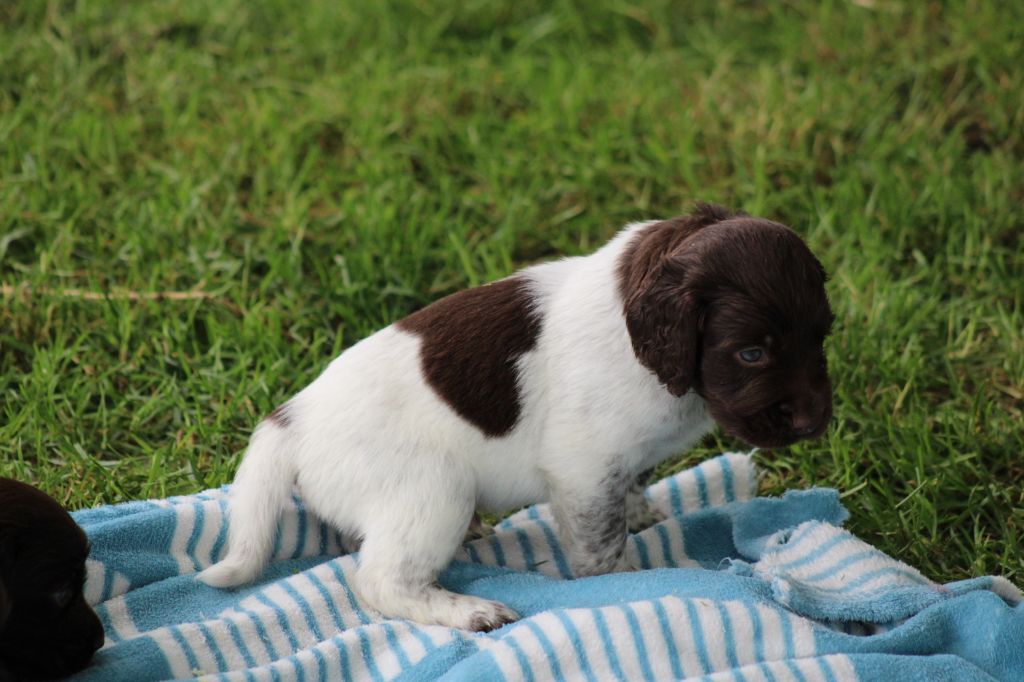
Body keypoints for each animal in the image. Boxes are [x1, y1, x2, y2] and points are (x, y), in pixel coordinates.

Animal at [197, 204, 831, 630]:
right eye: (751, 354)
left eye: (822, 334)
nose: (814, 424)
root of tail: (290, 419)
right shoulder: (583, 467)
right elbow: (601, 545)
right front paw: (629, 577)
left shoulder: (613, 465)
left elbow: (627, 490)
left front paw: (641, 511)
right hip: (433, 490)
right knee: (381, 578)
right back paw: (468, 610)